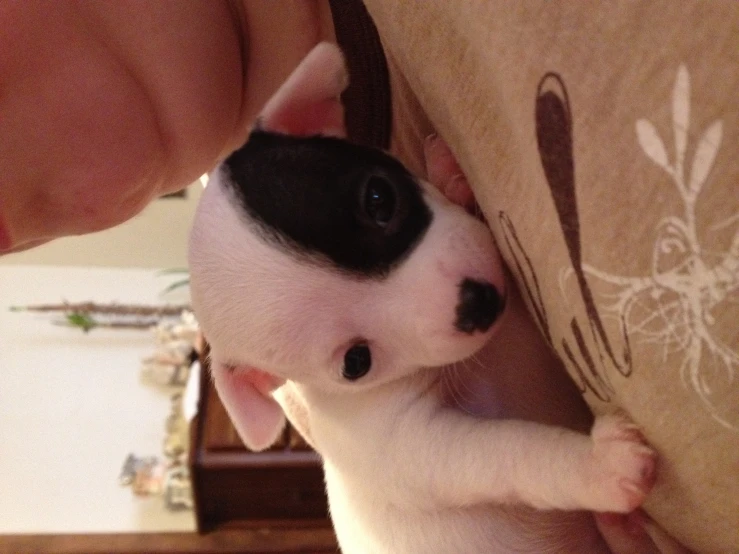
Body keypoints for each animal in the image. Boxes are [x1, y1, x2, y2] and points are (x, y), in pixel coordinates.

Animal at [188, 44, 656, 552]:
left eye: (379, 198)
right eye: (356, 363)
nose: (477, 304)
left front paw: (448, 177)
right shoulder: (417, 448)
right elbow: (511, 452)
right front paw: (593, 464)